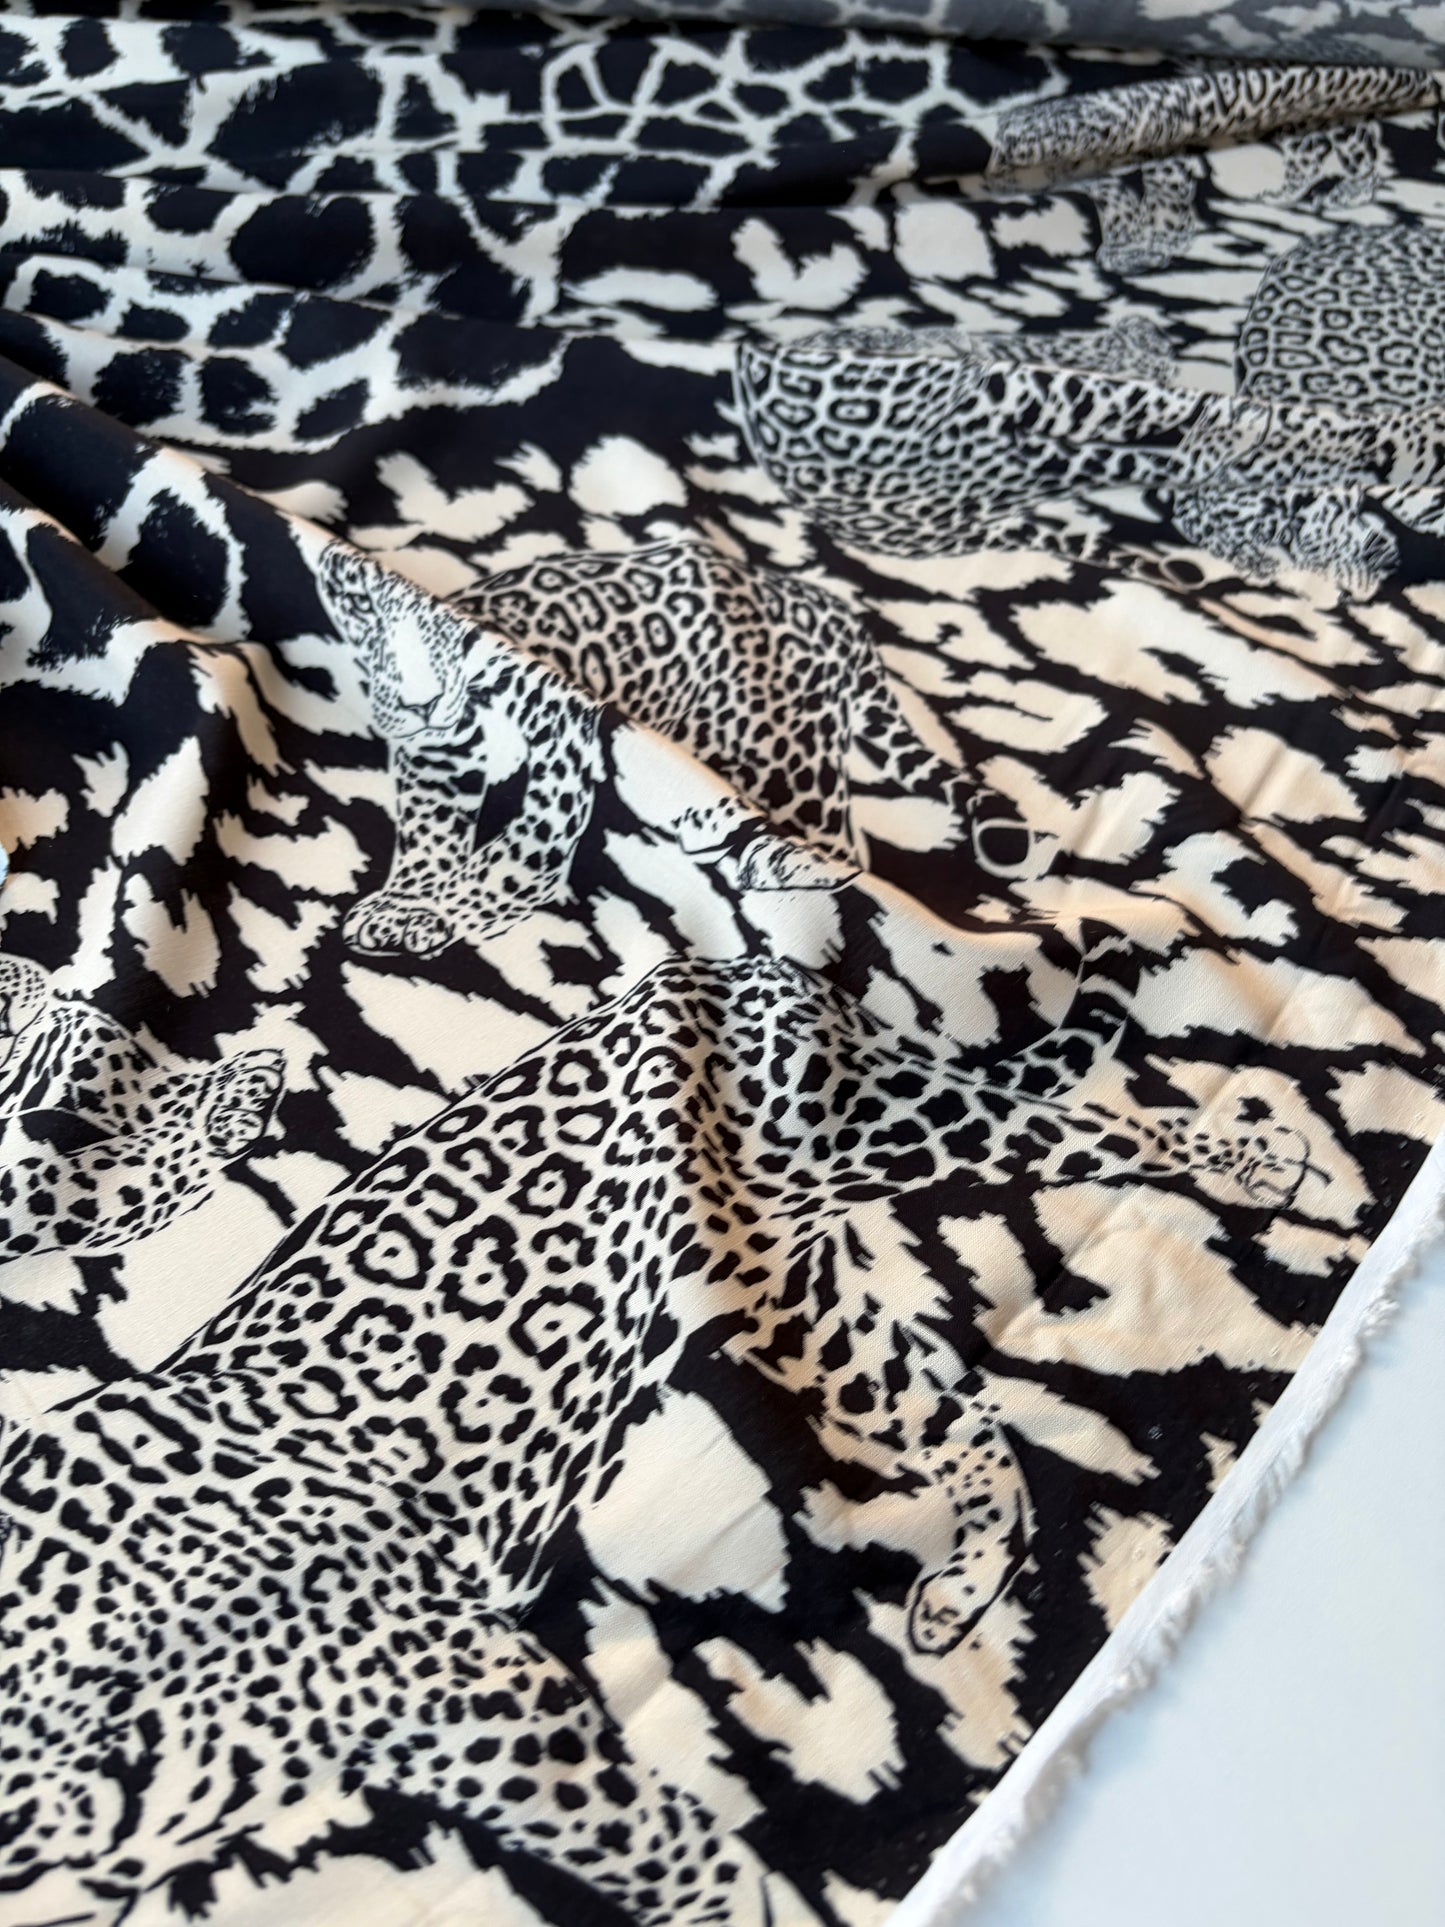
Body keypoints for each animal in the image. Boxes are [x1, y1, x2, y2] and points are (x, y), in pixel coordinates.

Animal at [0, 950, 1319, 1923]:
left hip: (890, 1129)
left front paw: (736, 1896)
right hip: (814, 1319)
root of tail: (714, 964)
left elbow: (658, 1847)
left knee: (1094, 1127)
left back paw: (1258, 1158)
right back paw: (956, 1595)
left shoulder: (485, 1685)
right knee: (966, 1424)